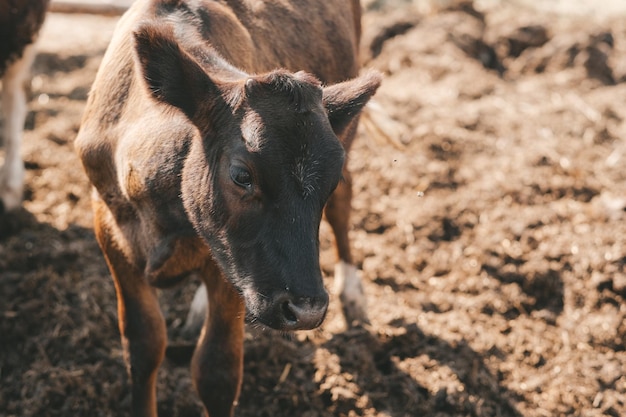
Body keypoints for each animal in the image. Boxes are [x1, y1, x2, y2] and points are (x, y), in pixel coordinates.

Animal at [75, 1, 378, 414]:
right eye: (241, 175)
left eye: (327, 181)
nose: (307, 310)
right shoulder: (110, 232)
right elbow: (143, 347)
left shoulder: (233, 269)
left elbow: (216, 371)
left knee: (344, 208)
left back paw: (353, 295)